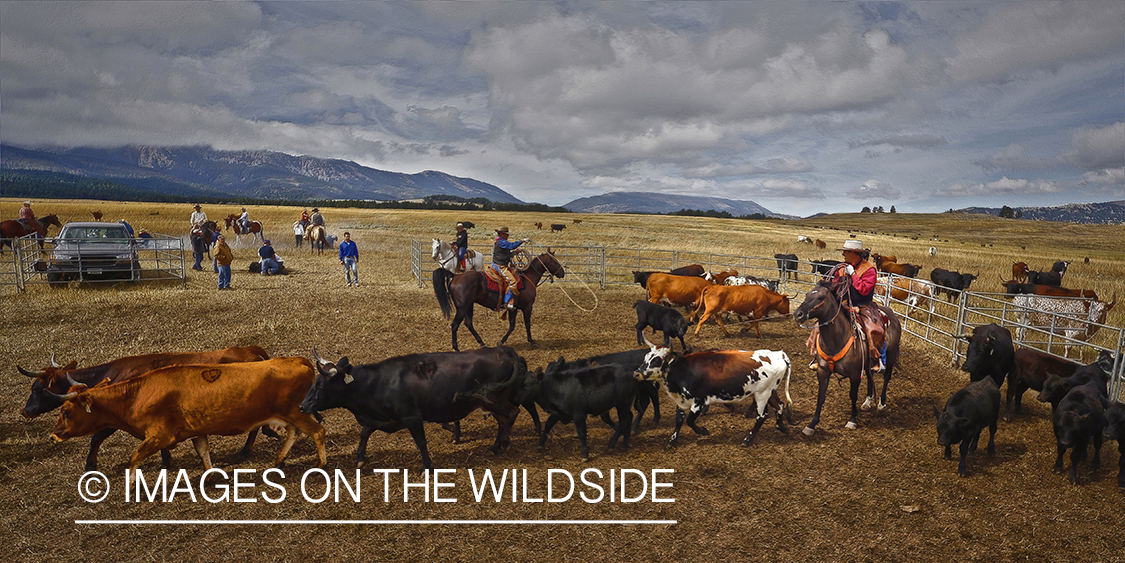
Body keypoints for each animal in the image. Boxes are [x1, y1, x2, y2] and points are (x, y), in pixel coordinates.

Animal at [52, 355, 326, 470]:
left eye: (66, 411)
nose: (53, 435)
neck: (139, 392)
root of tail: (297, 360)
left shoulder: (159, 436)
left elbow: (135, 457)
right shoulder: (197, 433)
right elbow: (204, 454)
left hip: (297, 412)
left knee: (318, 432)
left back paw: (321, 463)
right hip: (289, 416)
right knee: (294, 434)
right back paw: (279, 460)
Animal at [301, 346, 524, 470]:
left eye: (320, 385)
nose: (303, 406)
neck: (377, 382)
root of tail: (502, 350)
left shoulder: (412, 418)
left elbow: (421, 442)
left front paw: (427, 466)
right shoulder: (380, 418)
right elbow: (364, 433)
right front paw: (360, 459)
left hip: (493, 400)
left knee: (513, 413)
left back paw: (498, 445)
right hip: (489, 403)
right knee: (504, 420)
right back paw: (500, 444)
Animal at [434, 252, 567, 351]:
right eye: (555, 261)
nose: (562, 273)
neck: (528, 278)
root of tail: (455, 276)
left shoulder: (513, 308)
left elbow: (512, 326)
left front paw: (501, 341)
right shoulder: (527, 307)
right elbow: (527, 324)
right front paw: (532, 341)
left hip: (469, 306)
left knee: (468, 323)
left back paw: (482, 343)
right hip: (462, 308)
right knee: (455, 325)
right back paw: (456, 348)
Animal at [796, 281, 900, 434]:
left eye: (821, 298)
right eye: (807, 294)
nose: (798, 314)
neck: (837, 339)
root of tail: (892, 314)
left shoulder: (855, 374)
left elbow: (853, 395)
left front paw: (852, 420)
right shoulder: (823, 371)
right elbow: (821, 396)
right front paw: (811, 424)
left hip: (891, 358)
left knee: (887, 377)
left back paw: (881, 403)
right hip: (869, 363)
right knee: (870, 376)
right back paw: (867, 402)